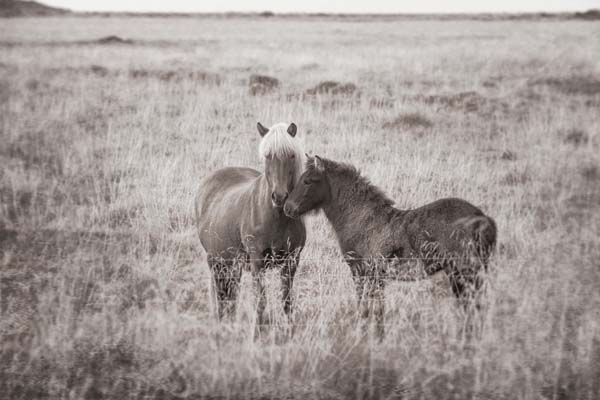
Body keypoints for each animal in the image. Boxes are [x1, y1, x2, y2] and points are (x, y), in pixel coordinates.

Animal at [195, 122, 306, 329]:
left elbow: (286, 302)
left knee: (231, 295)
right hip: (215, 261)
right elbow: (260, 301)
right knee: (220, 295)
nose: (280, 197)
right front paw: (258, 330)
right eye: (267, 156)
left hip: (232, 265)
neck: (276, 218)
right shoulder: (257, 261)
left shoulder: (292, 261)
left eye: (291, 155)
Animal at [283, 155, 496, 336]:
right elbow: (376, 310)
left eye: (308, 181)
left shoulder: (363, 272)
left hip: (465, 273)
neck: (362, 219)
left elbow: (368, 308)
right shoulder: (375, 276)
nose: (287, 208)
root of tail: (482, 218)